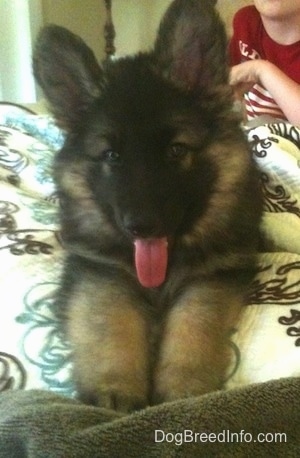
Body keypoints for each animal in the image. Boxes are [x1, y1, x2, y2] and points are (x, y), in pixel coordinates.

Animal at [34, 0, 262, 412]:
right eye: (111, 155)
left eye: (176, 150)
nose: (141, 226)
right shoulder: (100, 271)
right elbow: (109, 320)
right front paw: (115, 388)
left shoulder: (212, 276)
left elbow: (193, 323)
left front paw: (183, 388)